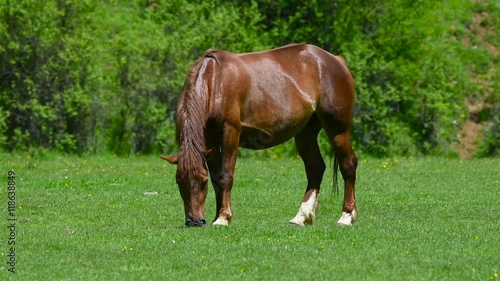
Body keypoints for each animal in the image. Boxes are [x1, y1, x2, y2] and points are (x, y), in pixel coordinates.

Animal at [162, 44, 358, 228]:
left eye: (203, 182)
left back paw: (346, 216)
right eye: (179, 182)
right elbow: (217, 178)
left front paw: (223, 217)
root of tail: (335, 60)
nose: (194, 221)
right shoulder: (209, 142)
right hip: (305, 132)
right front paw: (218, 215)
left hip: (337, 129)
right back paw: (301, 217)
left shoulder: (230, 132)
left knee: (348, 164)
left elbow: (226, 175)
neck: (214, 82)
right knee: (315, 168)